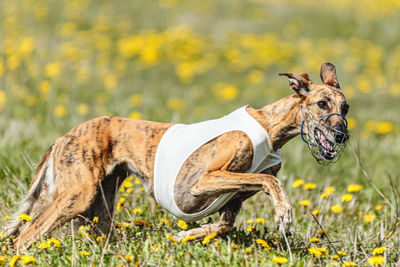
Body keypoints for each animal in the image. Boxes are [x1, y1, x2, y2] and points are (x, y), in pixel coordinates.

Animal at [3, 62, 350, 249]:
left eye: (345, 107)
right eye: (321, 104)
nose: (342, 135)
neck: (270, 126)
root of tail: (64, 136)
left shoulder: (233, 201)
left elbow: (223, 225)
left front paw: (185, 236)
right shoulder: (204, 180)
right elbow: (268, 180)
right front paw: (284, 213)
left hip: (99, 207)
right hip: (78, 194)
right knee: (24, 236)